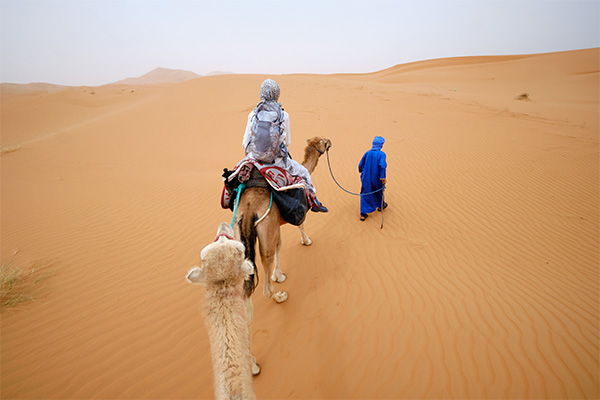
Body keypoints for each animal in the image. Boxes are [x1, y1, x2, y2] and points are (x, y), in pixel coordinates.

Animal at [233, 136, 332, 302]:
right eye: (324, 141)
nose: (330, 141)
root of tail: (248, 210)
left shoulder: (276, 226)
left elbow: (279, 245)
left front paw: (278, 275)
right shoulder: (298, 207)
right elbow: (300, 225)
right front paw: (306, 241)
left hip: (240, 231)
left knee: (245, 286)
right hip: (265, 228)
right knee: (266, 264)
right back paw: (280, 296)